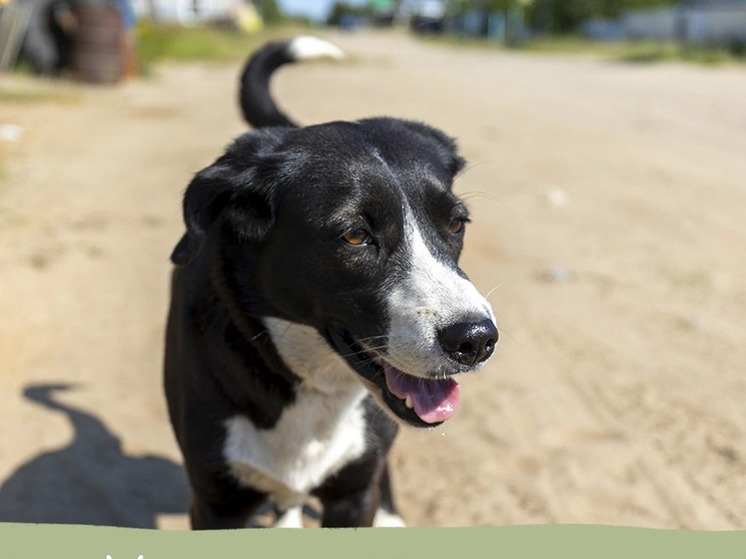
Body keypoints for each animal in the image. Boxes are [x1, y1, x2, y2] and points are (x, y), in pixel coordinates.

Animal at [166, 37, 496, 532]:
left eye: (456, 223)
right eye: (355, 235)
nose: (476, 340)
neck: (313, 385)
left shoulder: (353, 496)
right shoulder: (215, 506)